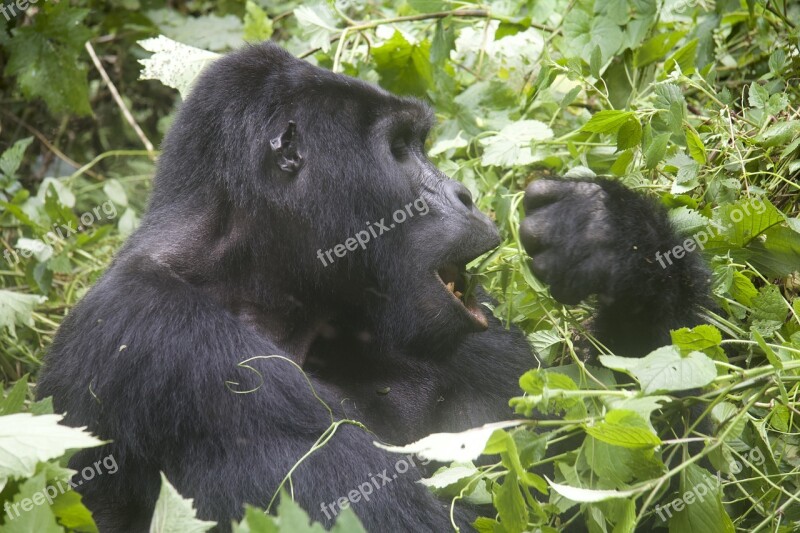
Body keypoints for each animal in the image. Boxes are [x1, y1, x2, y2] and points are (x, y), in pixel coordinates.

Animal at [37, 42, 708, 532]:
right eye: (400, 149)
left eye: (418, 144)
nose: (464, 194)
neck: (257, 275)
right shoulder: (159, 334)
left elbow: (609, 447)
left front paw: (611, 235)